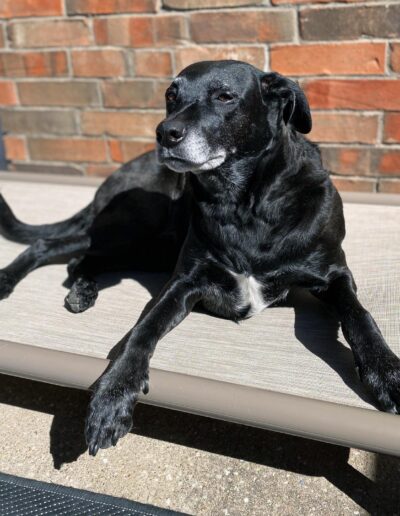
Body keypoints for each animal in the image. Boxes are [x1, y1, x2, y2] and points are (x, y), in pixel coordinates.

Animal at [0, 61, 400, 456]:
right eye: (170, 96)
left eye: (224, 96)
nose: (165, 134)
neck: (243, 205)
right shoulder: (183, 282)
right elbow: (142, 331)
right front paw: (113, 395)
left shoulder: (334, 274)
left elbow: (358, 316)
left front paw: (387, 372)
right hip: (133, 226)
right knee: (49, 246)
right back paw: (16, 281)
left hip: (142, 243)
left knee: (77, 257)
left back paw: (81, 290)